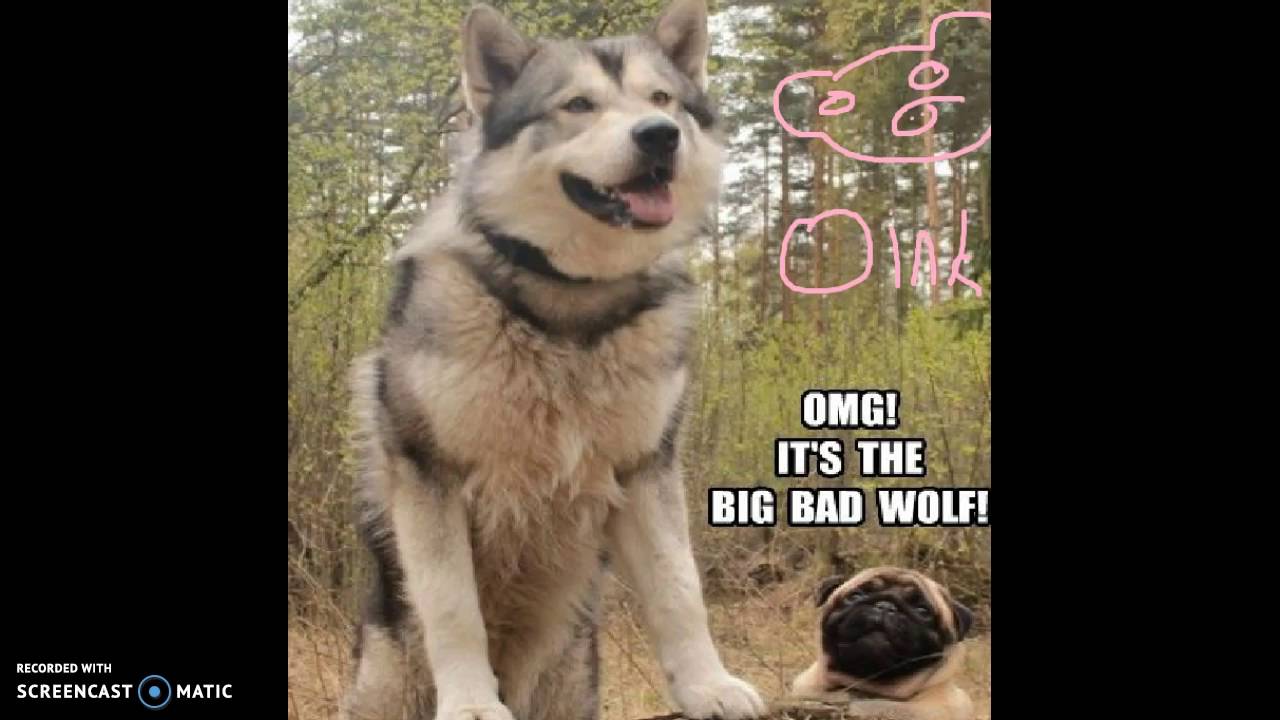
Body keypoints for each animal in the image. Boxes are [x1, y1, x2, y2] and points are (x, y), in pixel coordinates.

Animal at [339, 2, 766, 720]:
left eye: (662, 101)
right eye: (578, 105)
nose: (659, 137)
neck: (570, 304)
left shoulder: (646, 468)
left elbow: (680, 590)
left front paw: (709, 686)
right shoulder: (429, 473)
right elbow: (453, 609)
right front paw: (470, 704)